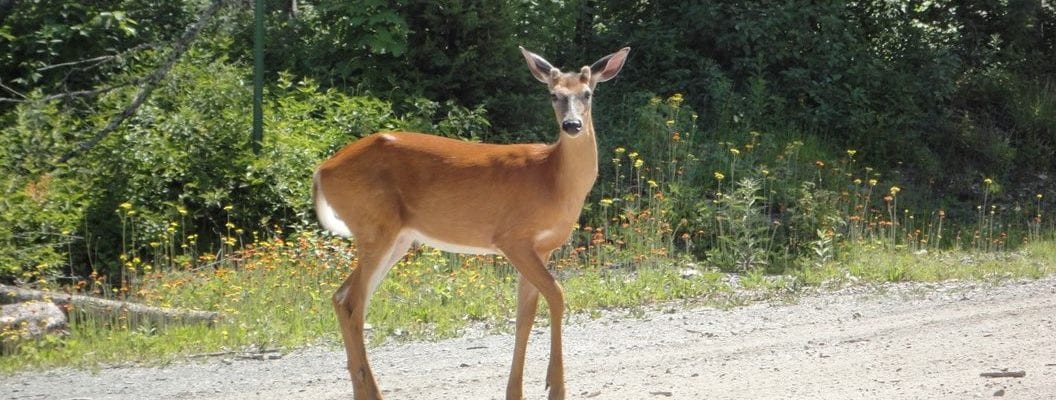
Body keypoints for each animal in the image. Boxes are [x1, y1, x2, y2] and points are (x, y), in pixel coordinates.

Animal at [310, 45, 625, 398]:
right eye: (554, 94)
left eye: (587, 93)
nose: (572, 125)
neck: (552, 178)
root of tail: (321, 171)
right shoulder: (512, 237)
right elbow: (557, 296)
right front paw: (554, 386)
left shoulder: (541, 248)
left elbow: (524, 315)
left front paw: (515, 391)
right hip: (375, 227)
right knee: (353, 302)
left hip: (394, 237)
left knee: (342, 298)